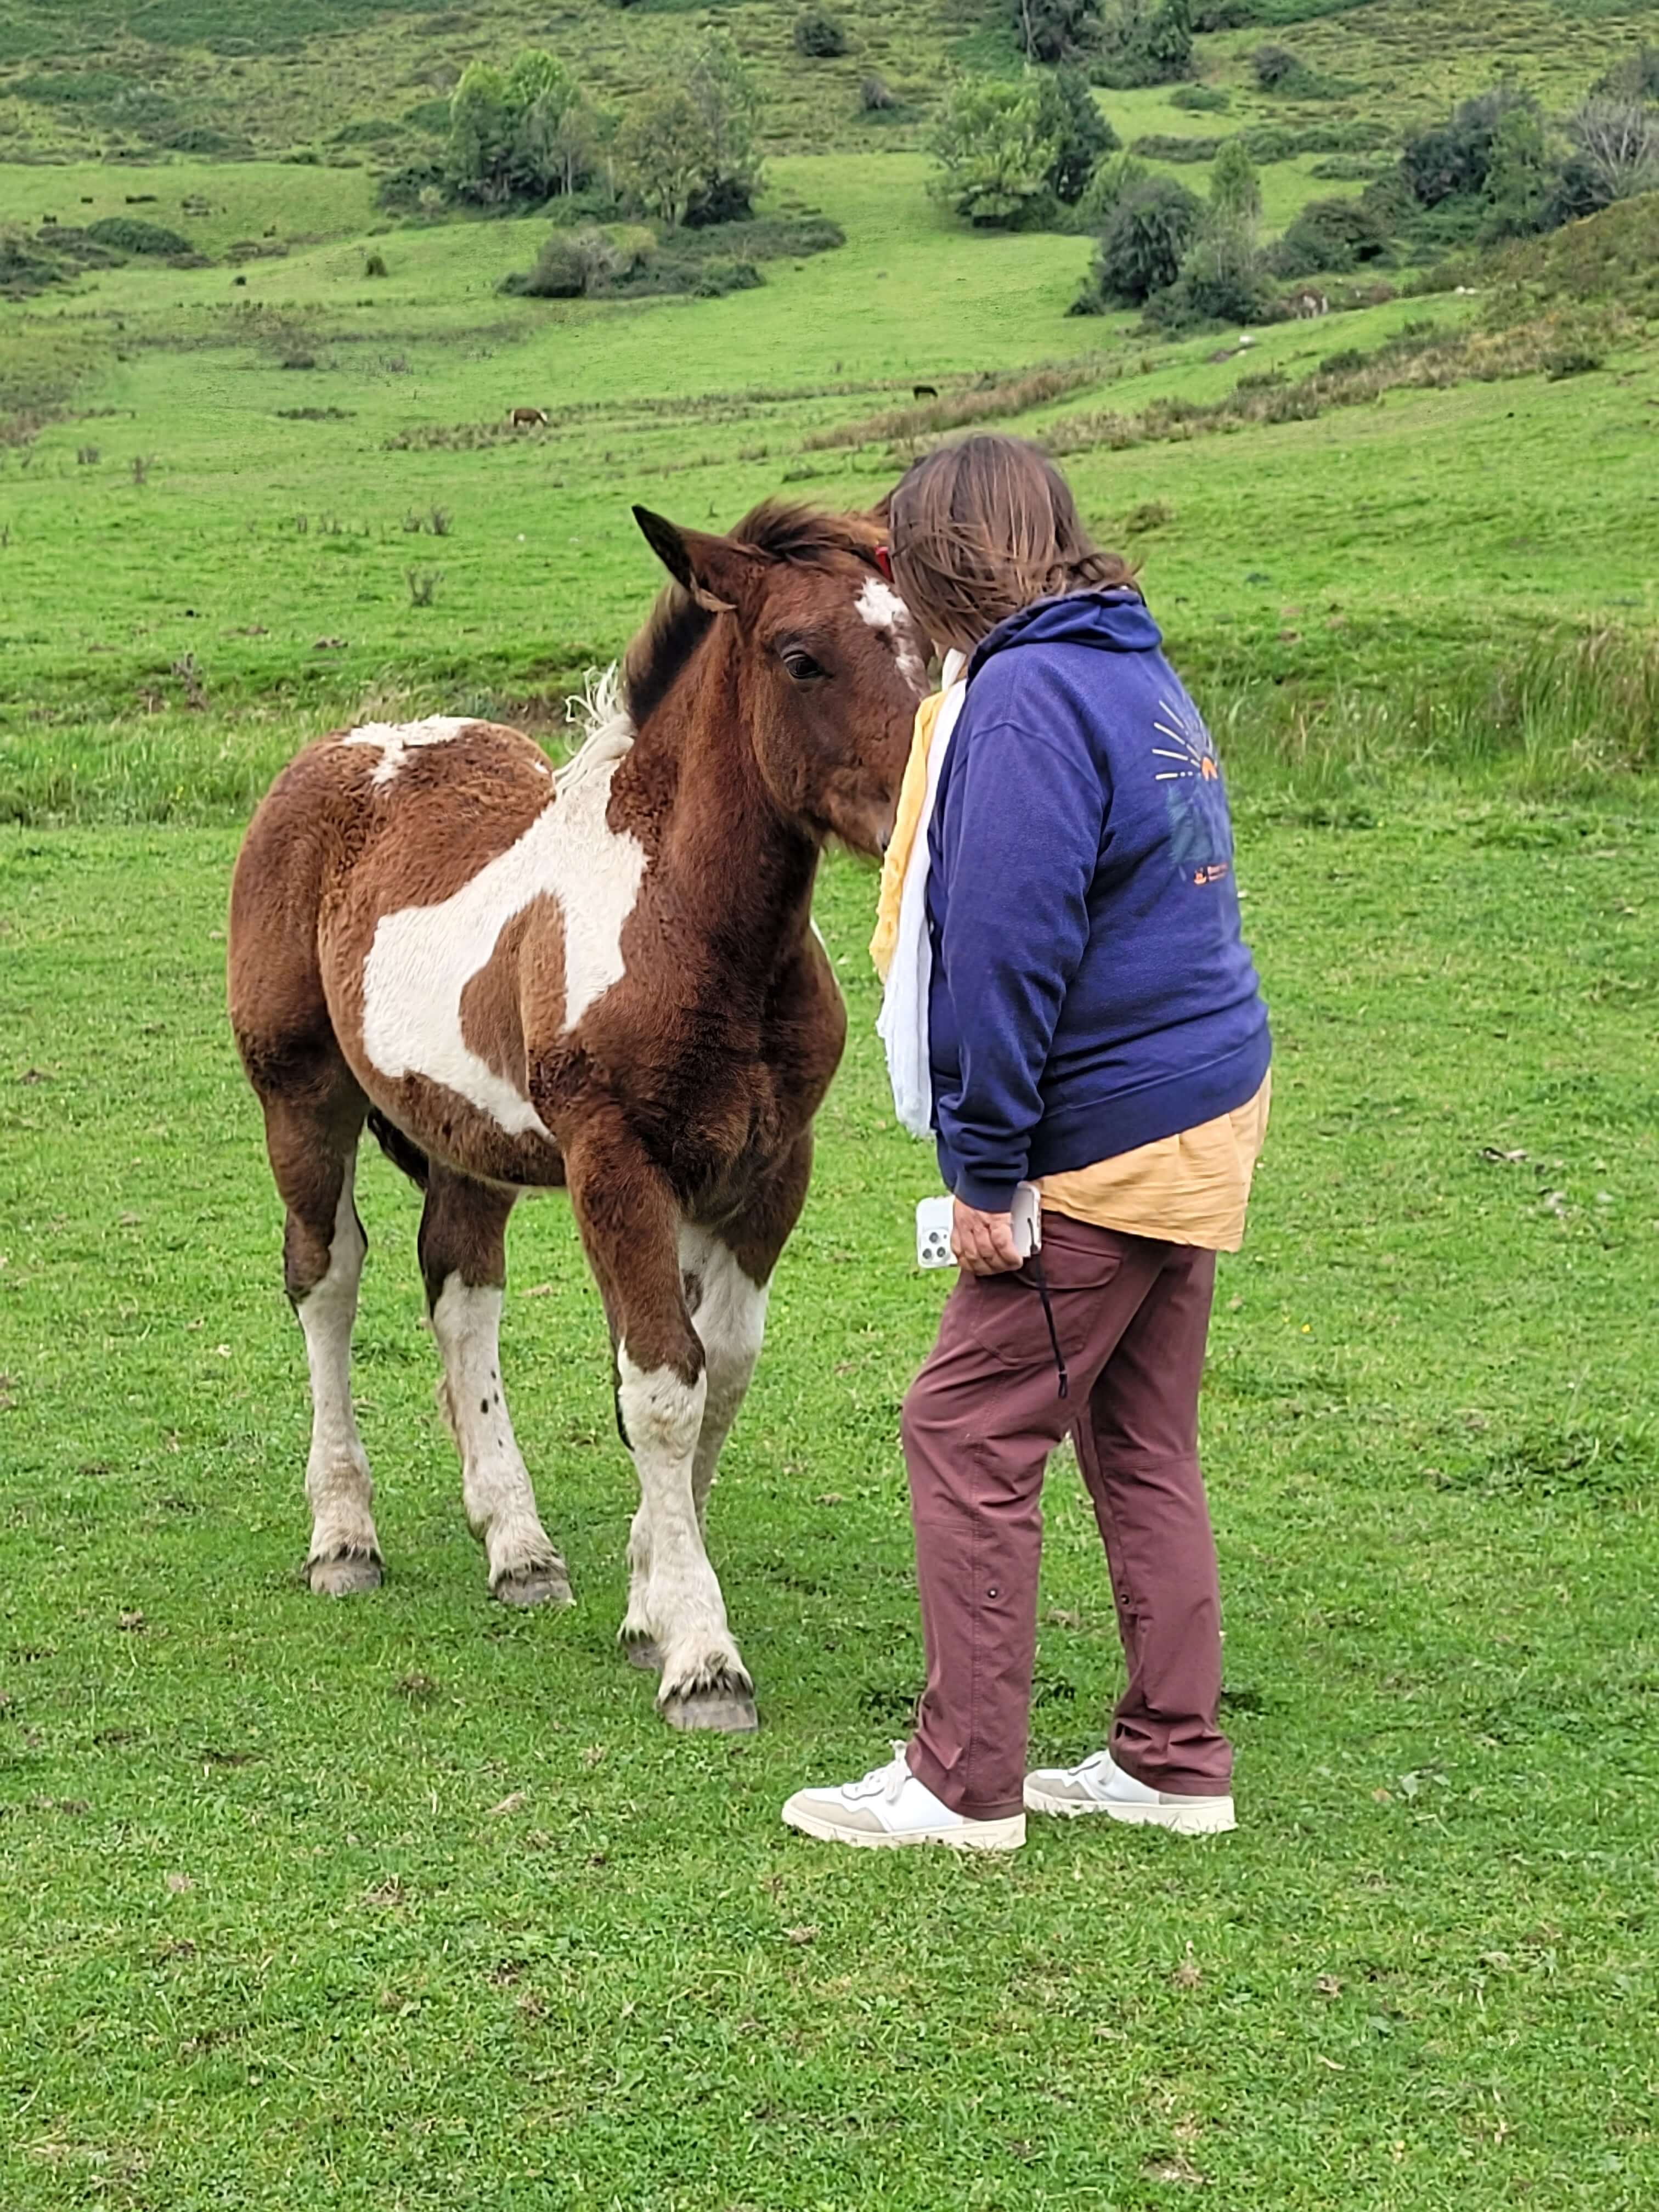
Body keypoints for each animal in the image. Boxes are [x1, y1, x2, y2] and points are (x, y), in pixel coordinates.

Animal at [228, 502, 929, 1725]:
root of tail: (345, 748)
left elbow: (715, 1372)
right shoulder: (617, 1164)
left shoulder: (764, 1172)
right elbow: (659, 1386)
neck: (695, 930)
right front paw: (701, 1656)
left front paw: (649, 1601)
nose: (924, 815)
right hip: (299, 1093)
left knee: (461, 1287)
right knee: (326, 1276)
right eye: (799, 657)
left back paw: (518, 1547)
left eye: (924, 641)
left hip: (465, 1135)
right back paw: (344, 1537)